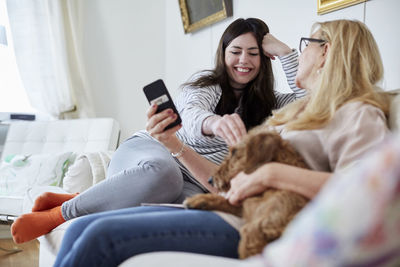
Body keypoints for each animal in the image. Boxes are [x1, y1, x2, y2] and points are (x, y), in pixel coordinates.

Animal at [184, 127, 310, 260]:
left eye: (234, 151)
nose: (210, 180)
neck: (268, 190)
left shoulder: (257, 229)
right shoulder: (243, 207)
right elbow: (225, 200)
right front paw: (199, 200)